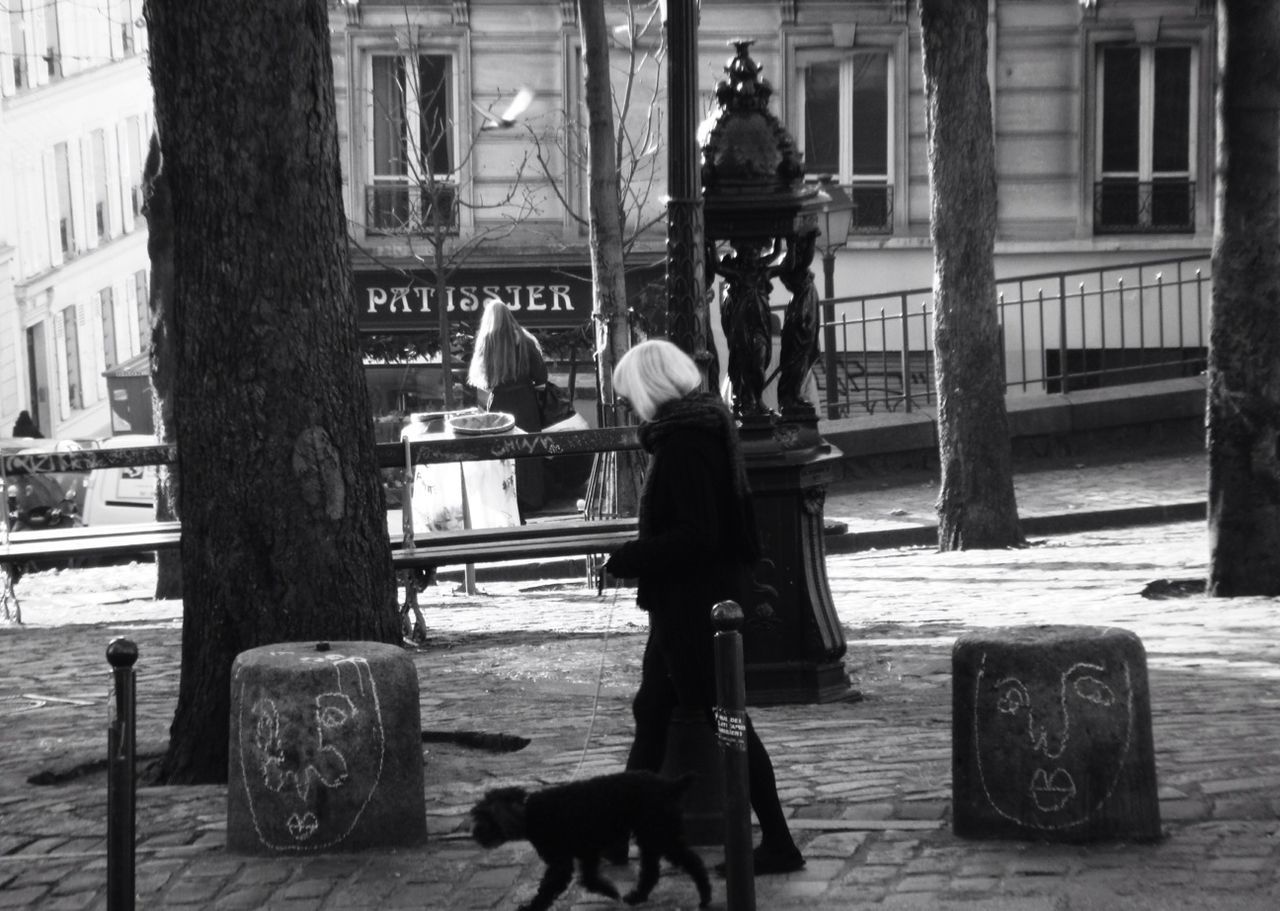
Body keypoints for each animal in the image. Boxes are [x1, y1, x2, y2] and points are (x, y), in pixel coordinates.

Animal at [468, 772, 711, 905]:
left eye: (483, 818)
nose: (475, 835)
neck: (531, 812)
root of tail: (670, 785)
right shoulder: (587, 852)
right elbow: (589, 879)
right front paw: (609, 891)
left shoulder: (561, 863)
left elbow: (548, 889)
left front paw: (531, 908)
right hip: (656, 836)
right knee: (666, 867)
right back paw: (640, 897)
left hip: (658, 834)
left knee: (686, 863)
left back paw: (704, 897)